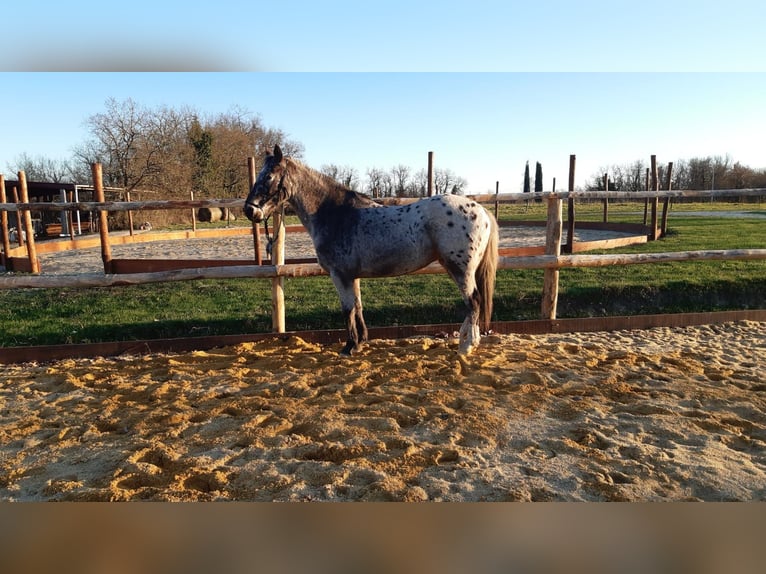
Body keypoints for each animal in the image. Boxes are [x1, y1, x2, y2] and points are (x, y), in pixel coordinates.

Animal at [243, 145, 500, 356]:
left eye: (268, 176)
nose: (249, 210)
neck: (335, 214)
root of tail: (481, 211)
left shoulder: (340, 275)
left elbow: (347, 309)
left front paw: (348, 347)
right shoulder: (352, 276)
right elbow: (358, 306)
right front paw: (360, 342)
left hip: (460, 269)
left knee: (474, 301)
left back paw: (466, 346)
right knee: (474, 303)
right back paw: (468, 340)